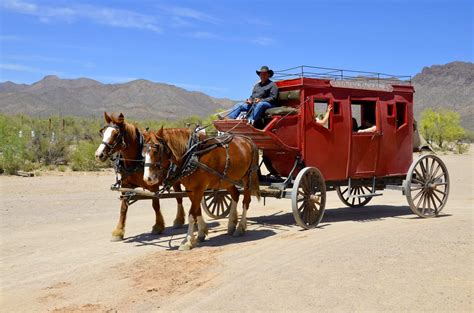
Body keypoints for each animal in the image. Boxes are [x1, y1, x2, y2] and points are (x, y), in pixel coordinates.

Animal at [95, 112, 186, 241]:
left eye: (116, 134)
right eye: (102, 132)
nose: (99, 155)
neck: (136, 160)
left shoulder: (153, 185)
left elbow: (155, 205)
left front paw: (158, 226)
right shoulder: (125, 185)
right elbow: (123, 207)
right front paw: (118, 231)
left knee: (180, 197)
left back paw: (179, 220)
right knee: (179, 196)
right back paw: (179, 220)